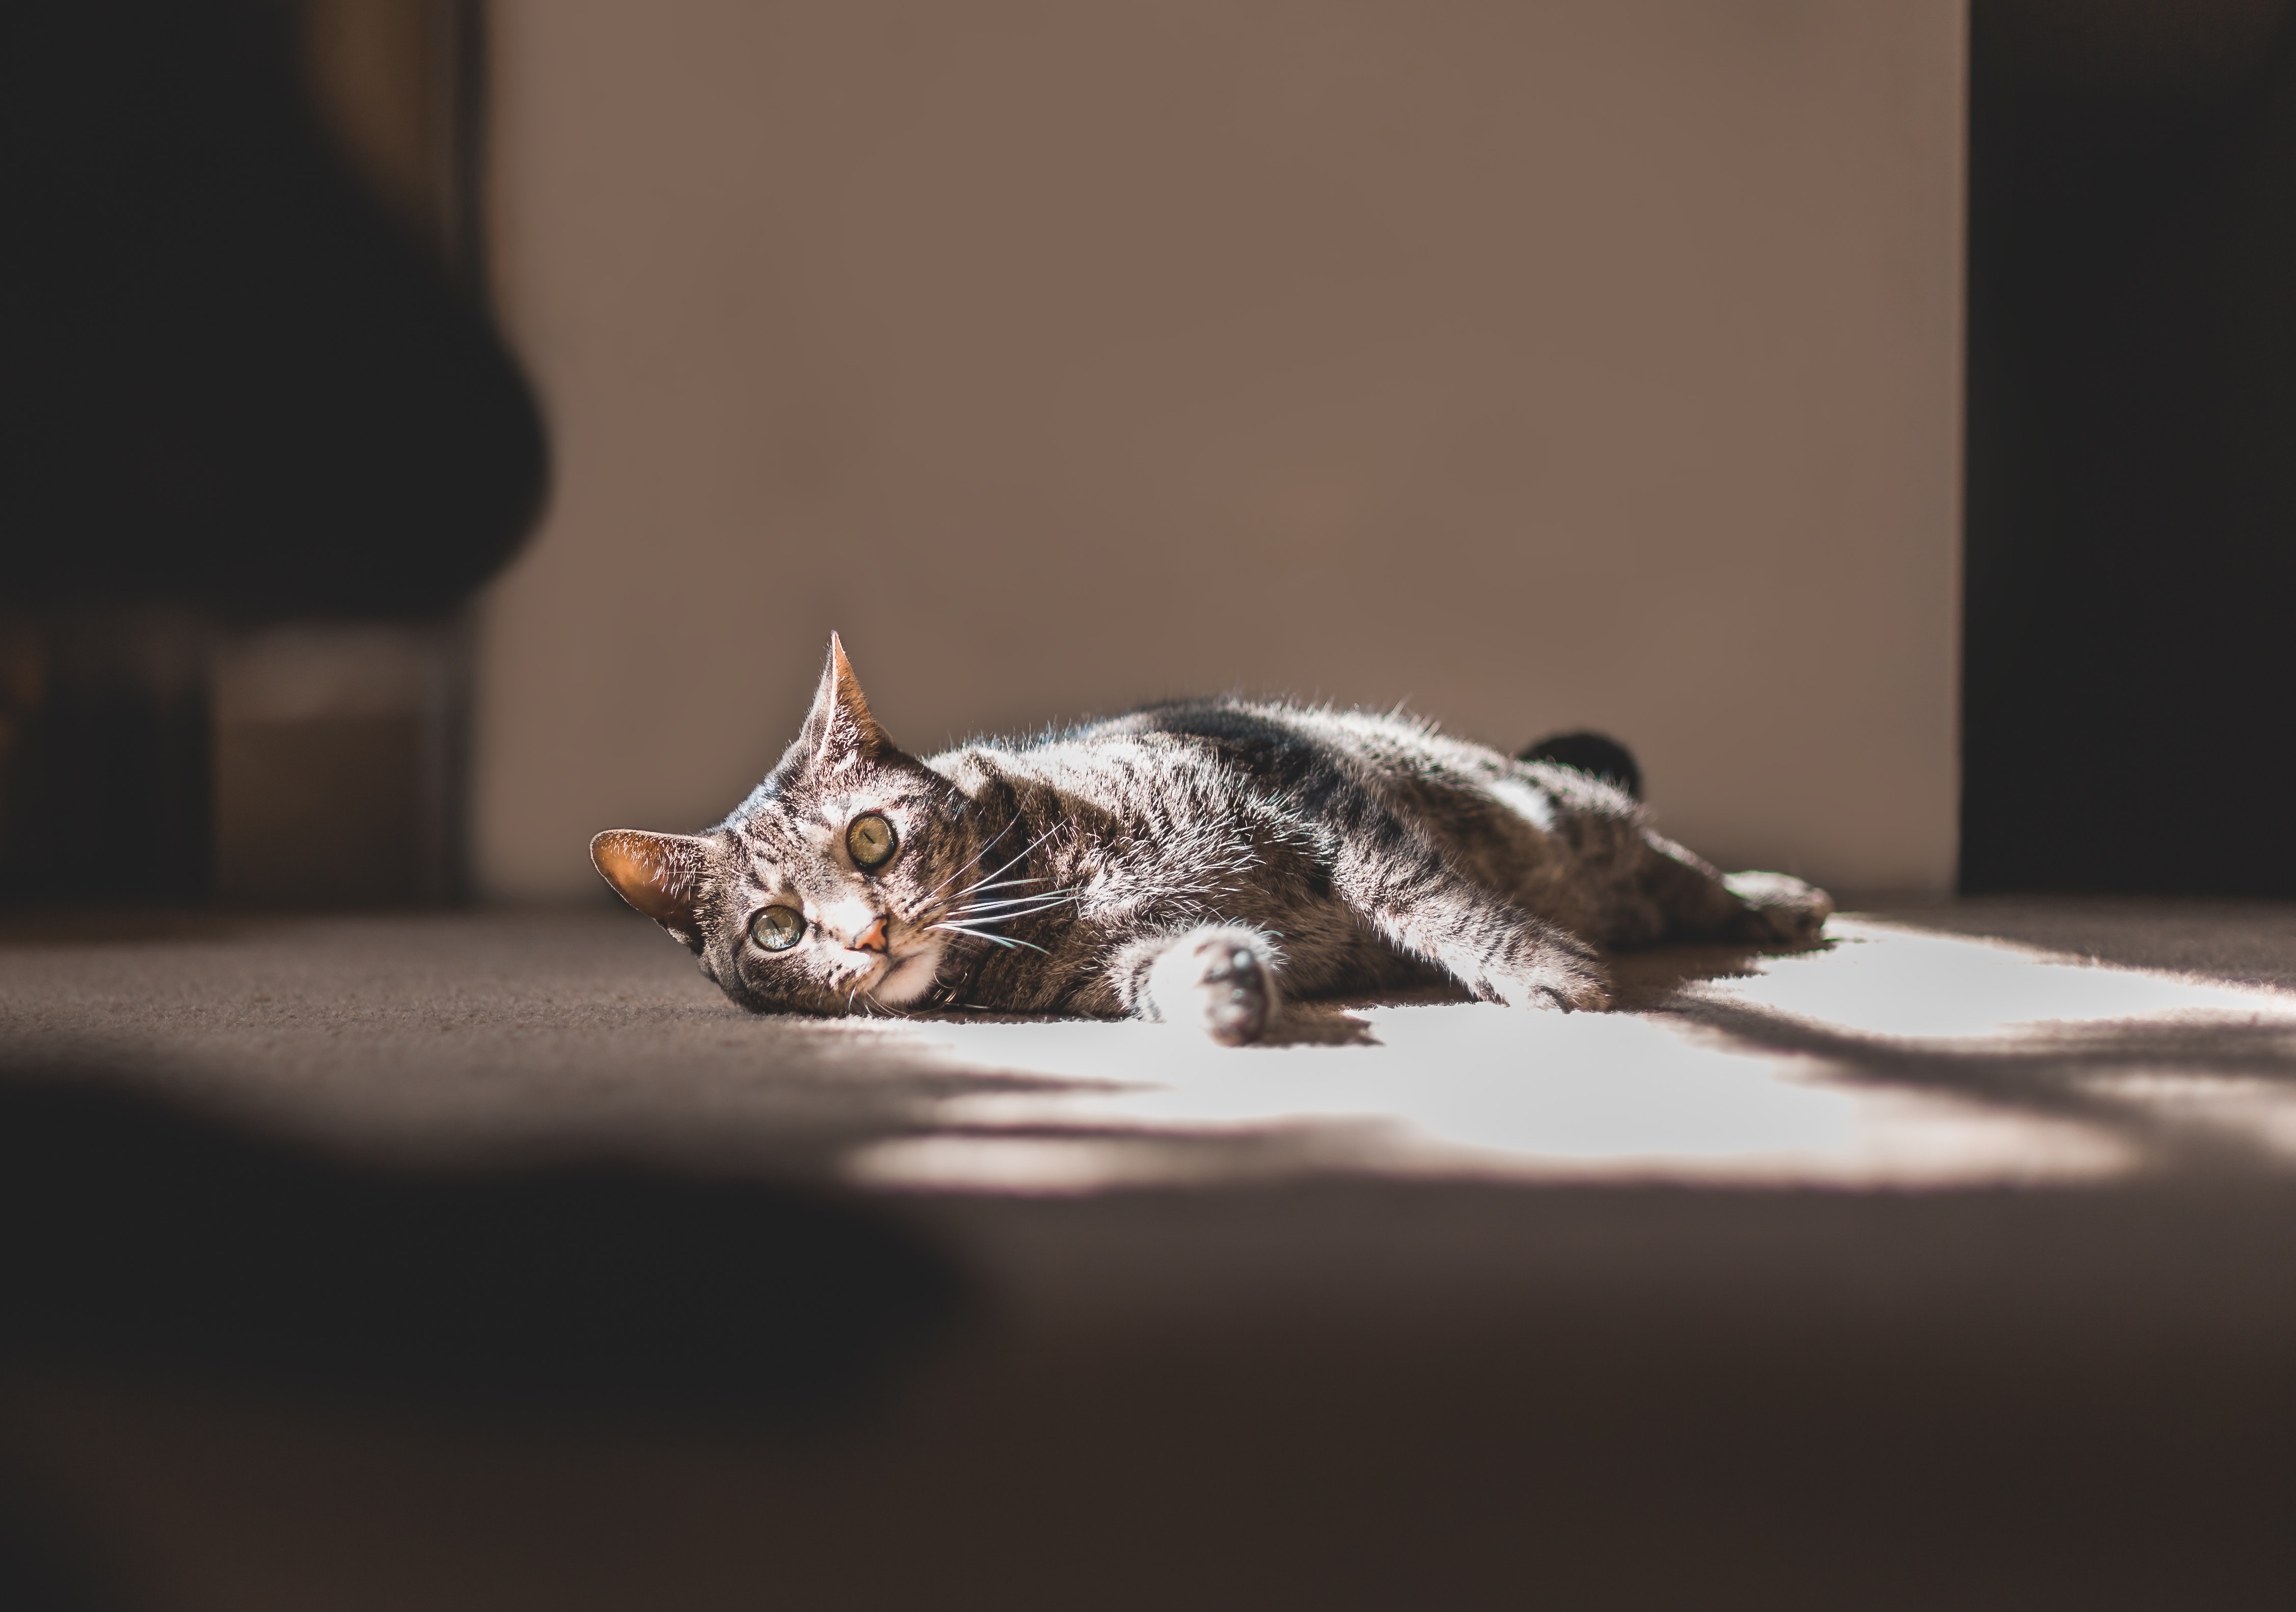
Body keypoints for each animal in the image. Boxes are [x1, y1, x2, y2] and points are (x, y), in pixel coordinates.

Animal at [587, 638, 1827, 1042]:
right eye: (778, 929)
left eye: (873, 840)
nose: (868, 932)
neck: (1053, 890)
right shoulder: (1109, 973)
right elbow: (1168, 969)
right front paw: (1220, 985)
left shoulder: (1316, 804)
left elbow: (1432, 901)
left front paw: (1536, 970)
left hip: (1580, 830)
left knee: (1678, 873)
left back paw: (1779, 899)